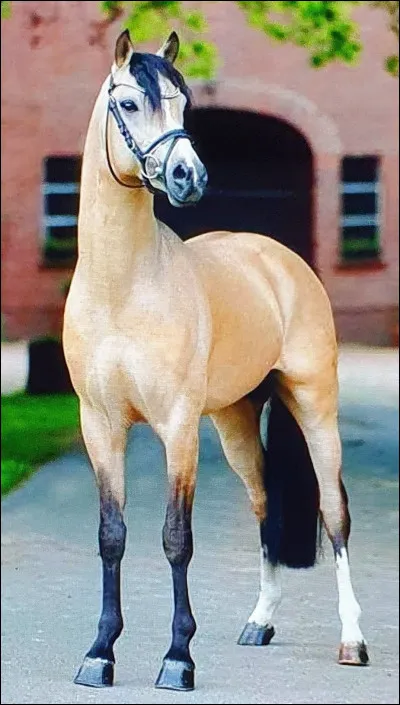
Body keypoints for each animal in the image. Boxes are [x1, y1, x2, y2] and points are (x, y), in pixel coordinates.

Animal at [63, 29, 369, 692]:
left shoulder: (178, 427)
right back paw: (259, 623)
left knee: (335, 513)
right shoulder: (100, 425)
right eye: (129, 104)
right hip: (234, 423)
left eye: (184, 105)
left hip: (315, 407)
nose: (189, 176)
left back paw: (353, 642)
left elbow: (176, 538)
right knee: (265, 506)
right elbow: (111, 536)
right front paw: (99, 653)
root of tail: (277, 258)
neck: (123, 285)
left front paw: (178, 659)